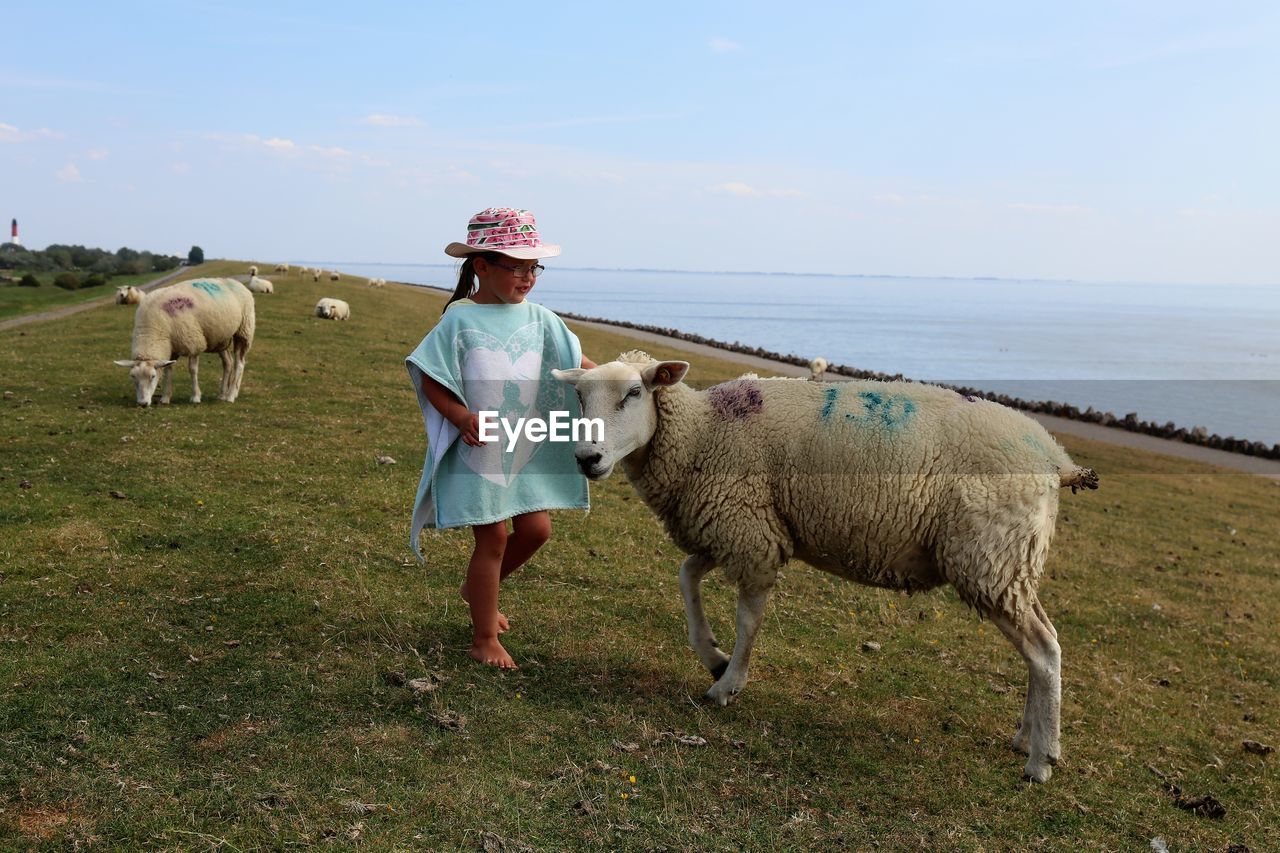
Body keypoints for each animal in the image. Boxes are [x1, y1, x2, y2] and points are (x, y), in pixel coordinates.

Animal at [113, 275, 256, 402]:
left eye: (153, 376)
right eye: (132, 376)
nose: (143, 404)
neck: (153, 331)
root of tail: (237, 283)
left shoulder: (193, 343)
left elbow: (192, 370)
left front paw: (195, 397)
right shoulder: (171, 349)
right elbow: (168, 370)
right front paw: (165, 397)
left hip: (243, 330)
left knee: (239, 363)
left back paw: (231, 395)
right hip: (220, 338)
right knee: (228, 363)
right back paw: (223, 394)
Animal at [558, 348, 1100, 778]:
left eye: (633, 393)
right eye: (580, 397)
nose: (586, 458)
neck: (702, 433)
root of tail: (1055, 458)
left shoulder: (751, 534)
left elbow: (748, 620)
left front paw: (728, 684)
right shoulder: (732, 526)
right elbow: (686, 577)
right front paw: (712, 656)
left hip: (991, 558)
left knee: (1044, 651)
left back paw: (1041, 760)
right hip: (1010, 563)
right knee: (1040, 646)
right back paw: (1027, 739)